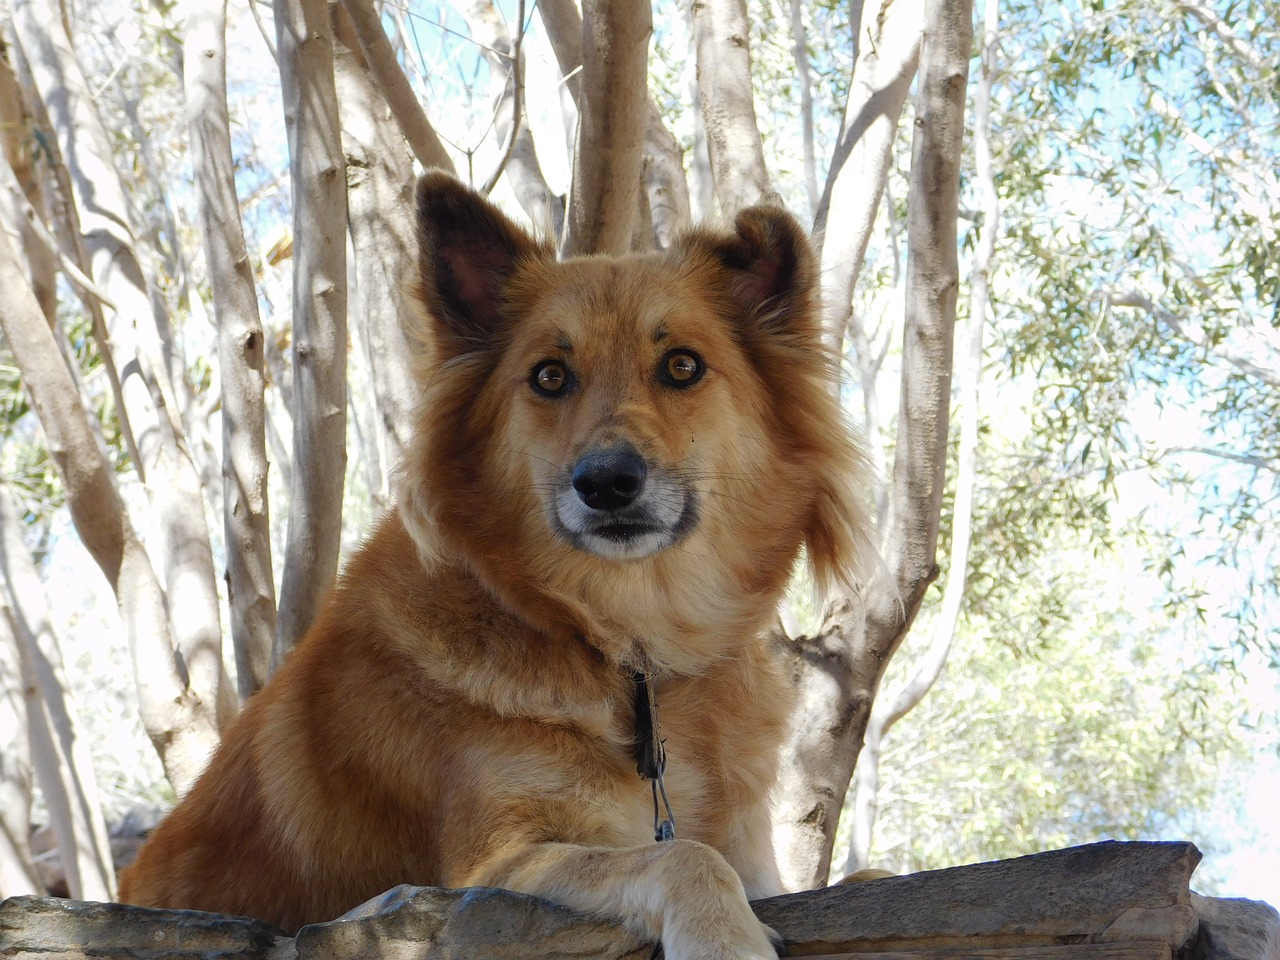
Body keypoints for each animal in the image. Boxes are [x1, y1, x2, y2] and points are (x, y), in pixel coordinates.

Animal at [117, 172, 870, 960]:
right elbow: (682, 856)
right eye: (550, 376)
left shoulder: (753, 851)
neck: (625, 649)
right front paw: (725, 939)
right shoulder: (494, 865)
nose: (606, 482)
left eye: (683, 366)